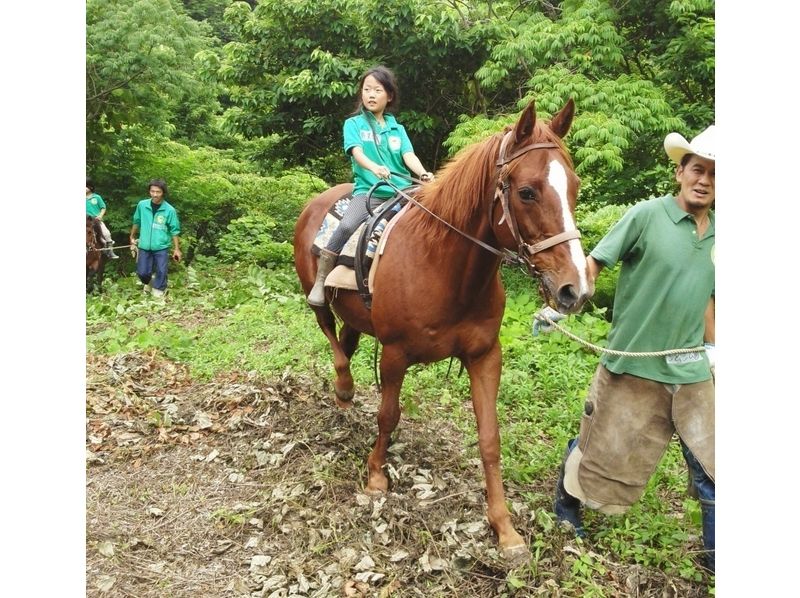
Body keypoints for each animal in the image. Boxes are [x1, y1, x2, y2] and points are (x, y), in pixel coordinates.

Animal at [293, 99, 592, 562]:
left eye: (573, 186)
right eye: (527, 192)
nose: (574, 288)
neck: (444, 265)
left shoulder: (485, 356)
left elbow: (490, 438)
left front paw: (504, 528)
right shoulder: (395, 353)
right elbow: (388, 414)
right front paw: (376, 476)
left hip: (357, 316)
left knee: (347, 340)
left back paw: (343, 397)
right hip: (317, 295)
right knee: (331, 336)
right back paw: (343, 387)